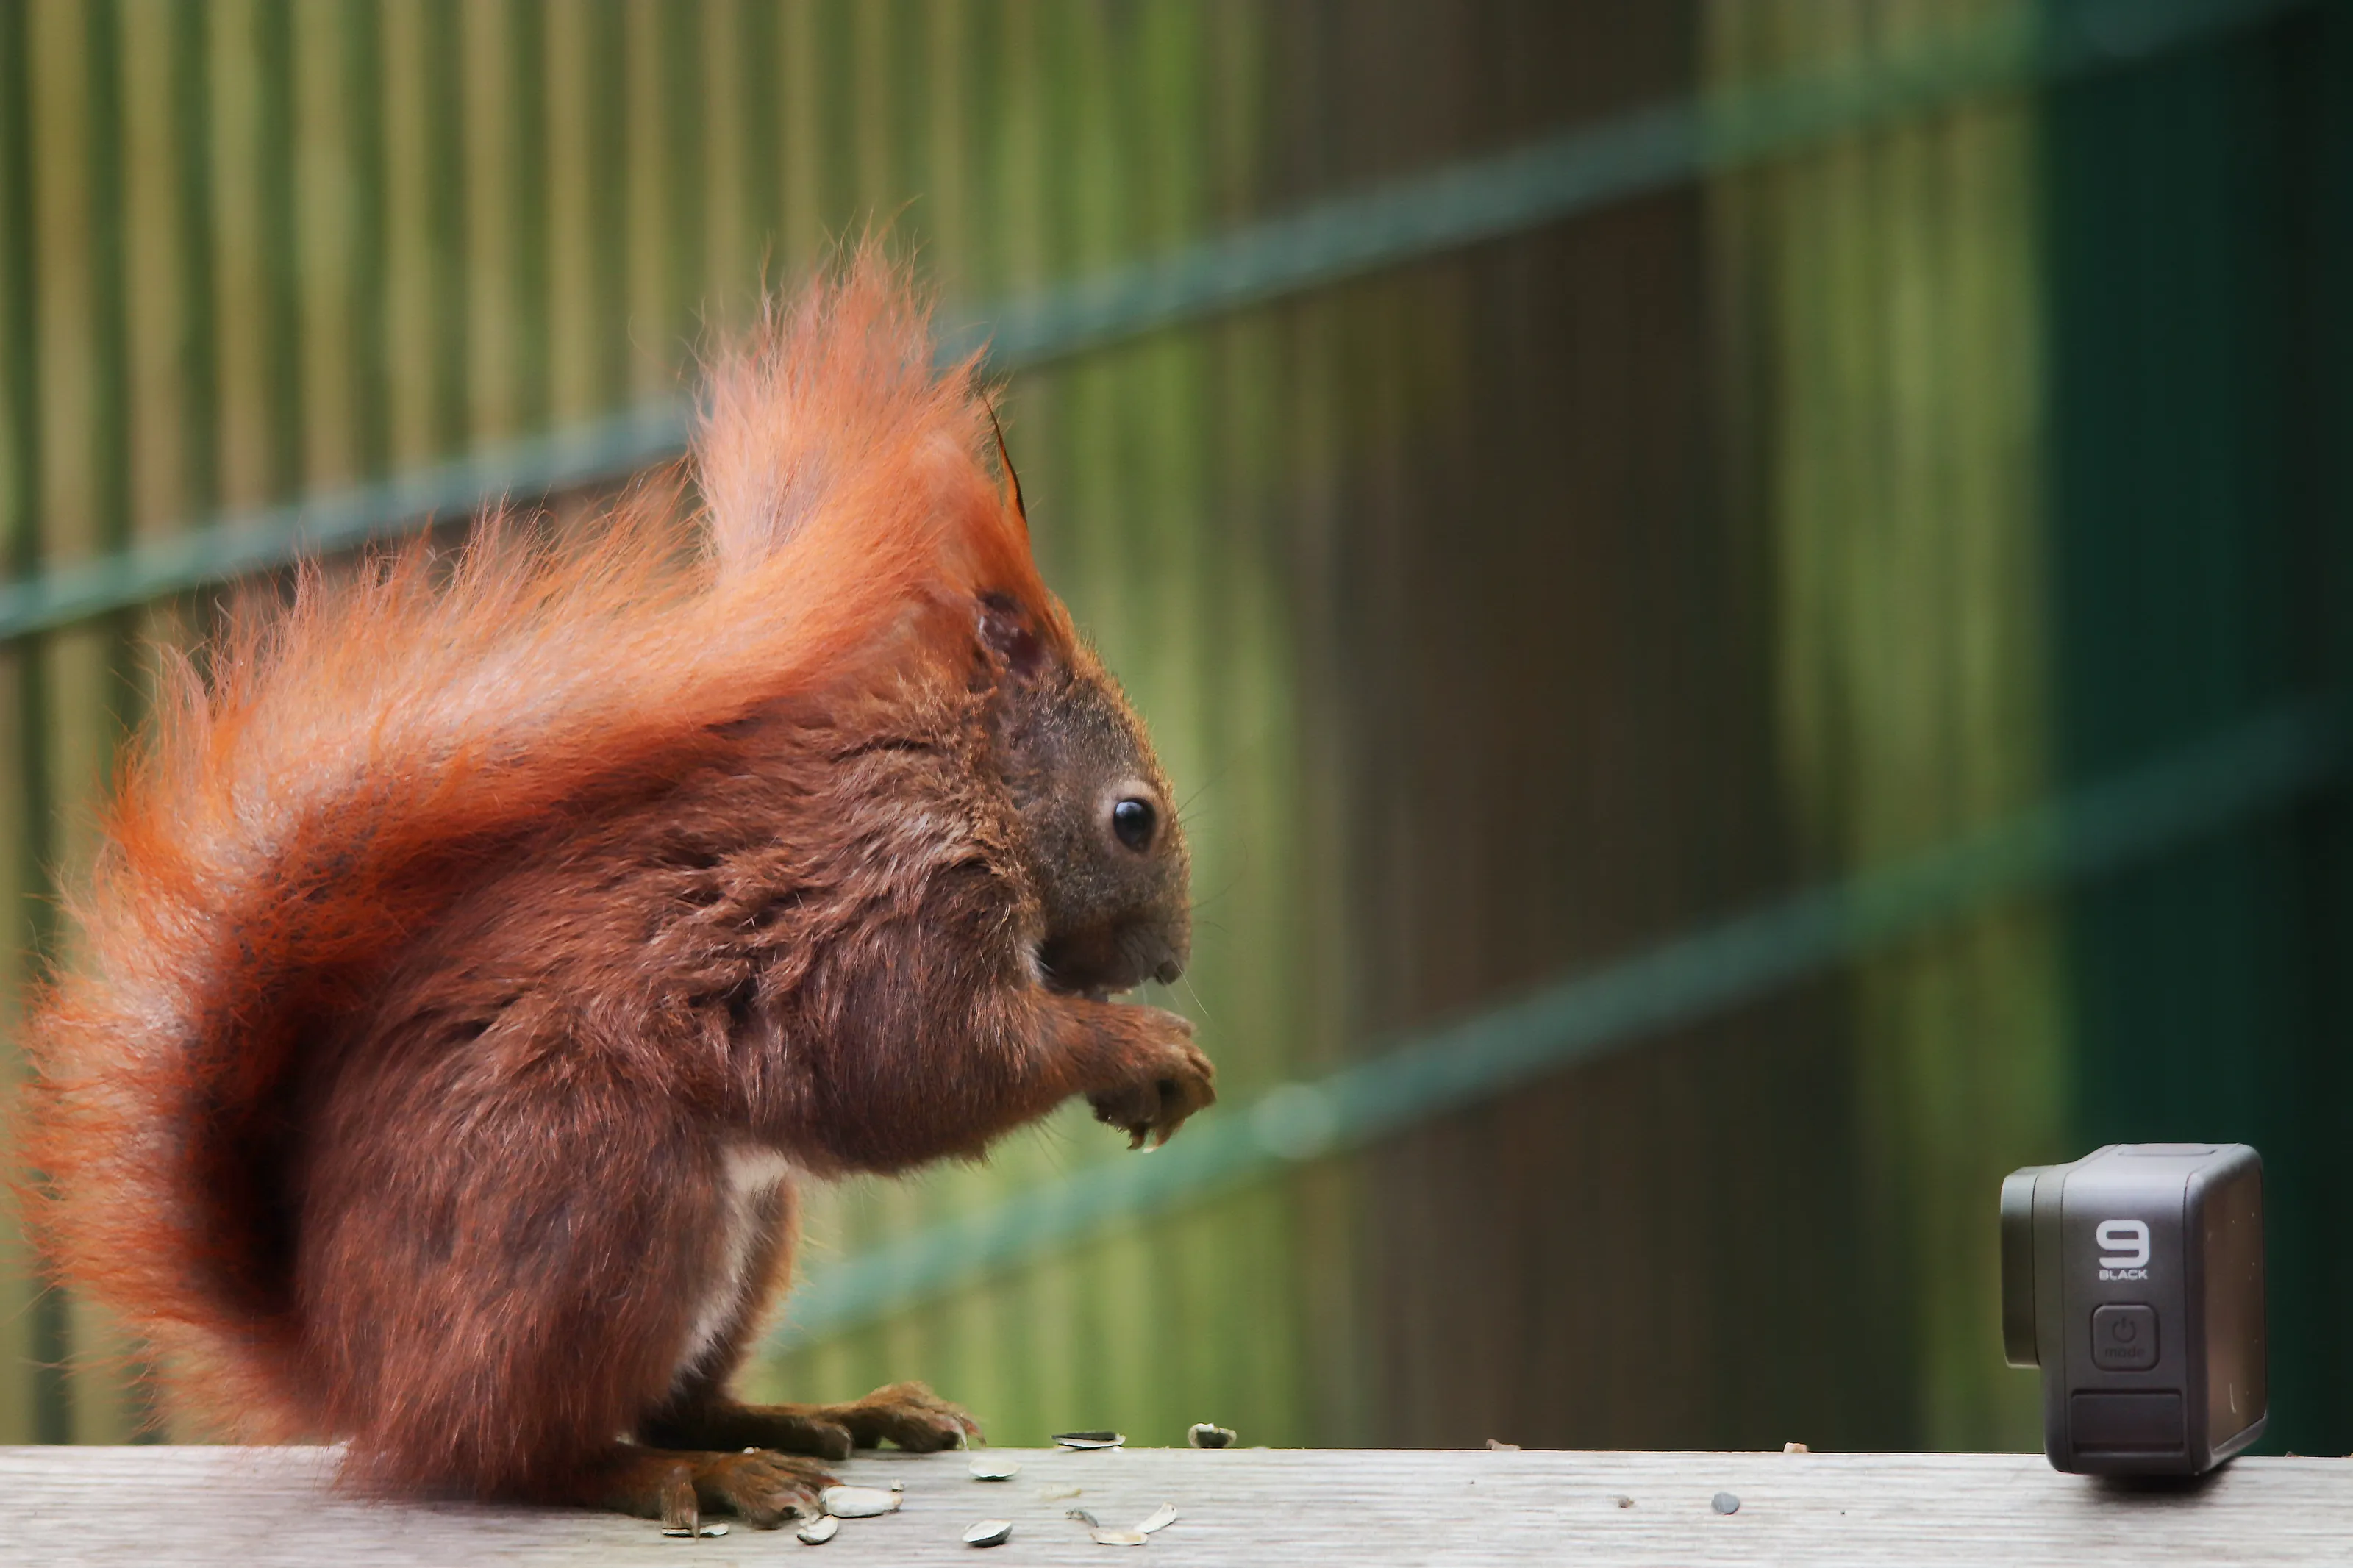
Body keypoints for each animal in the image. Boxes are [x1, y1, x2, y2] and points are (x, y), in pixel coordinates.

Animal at [17, 255, 1214, 1530]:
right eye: (1133, 819)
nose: (1170, 962)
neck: (966, 782)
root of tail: (354, 1369)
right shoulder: (895, 902)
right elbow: (923, 1065)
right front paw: (1141, 1048)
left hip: (740, 1230)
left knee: (675, 1399)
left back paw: (820, 1413)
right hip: (604, 1200)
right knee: (532, 1454)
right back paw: (694, 1472)